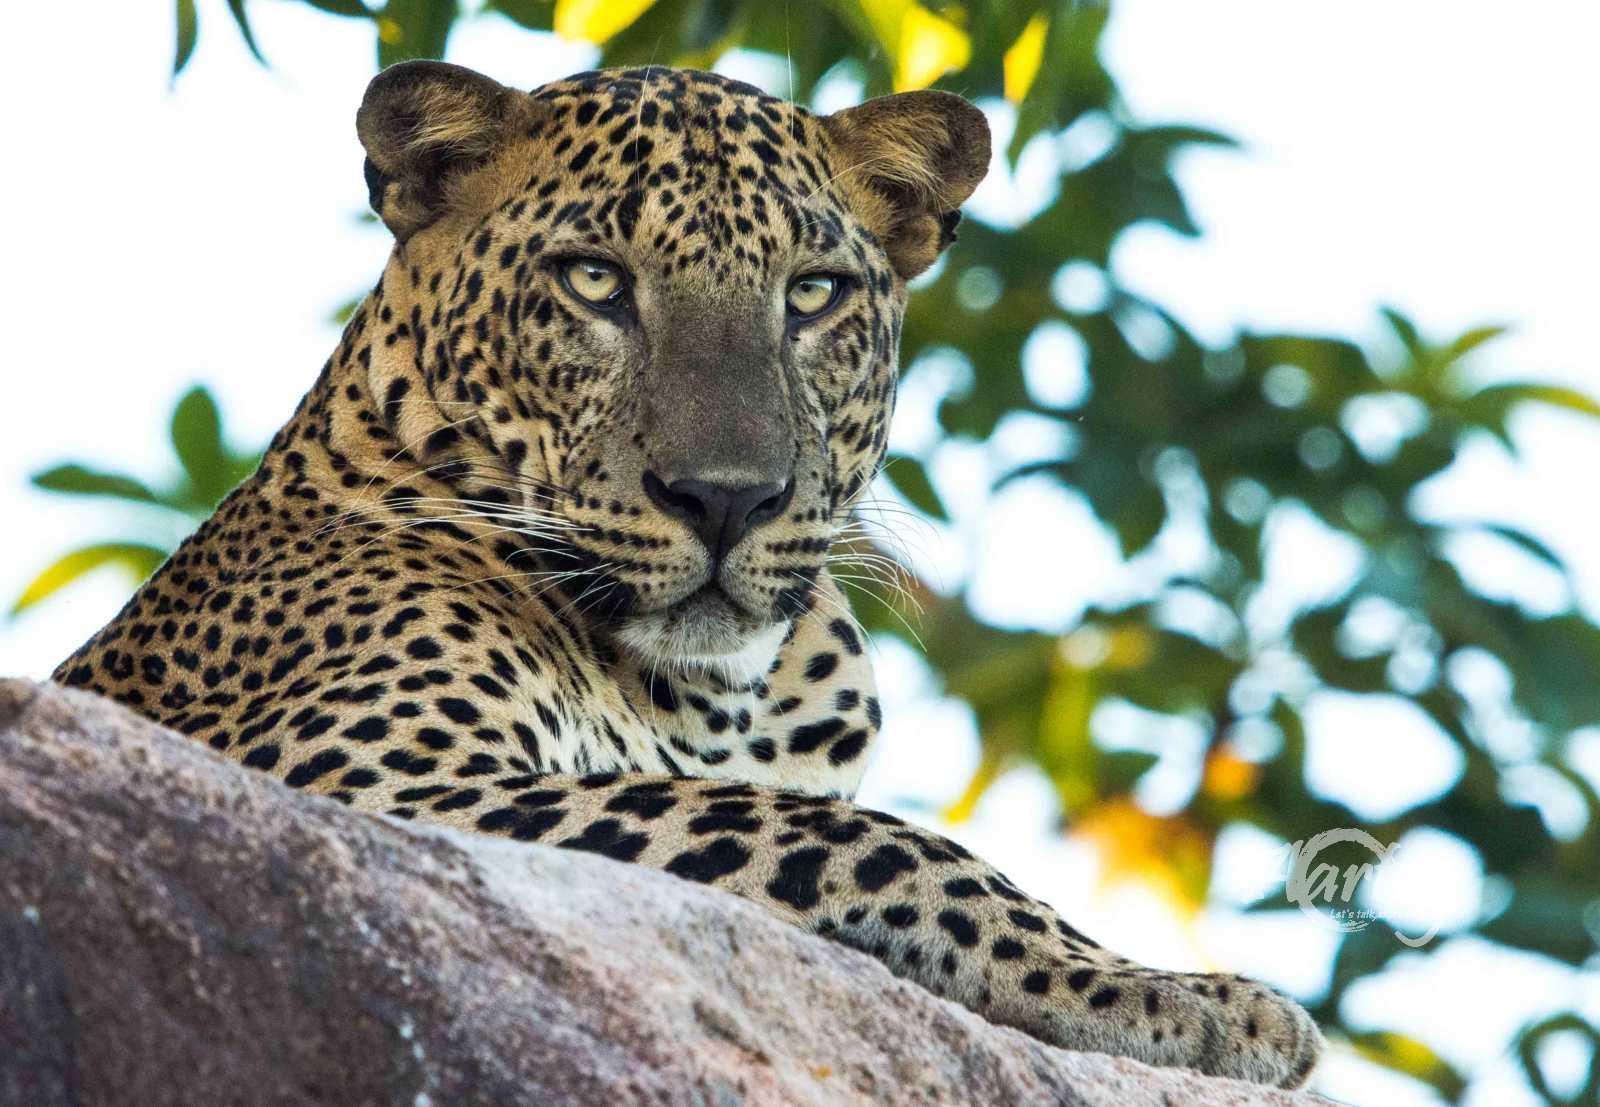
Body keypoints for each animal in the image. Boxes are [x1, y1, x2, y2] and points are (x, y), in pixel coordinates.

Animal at [55, 60, 1322, 1089]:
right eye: (593, 281)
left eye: (811, 294)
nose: (726, 499)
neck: (721, 695)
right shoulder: (355, 778)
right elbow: (849, 835)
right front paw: (1175, 999)